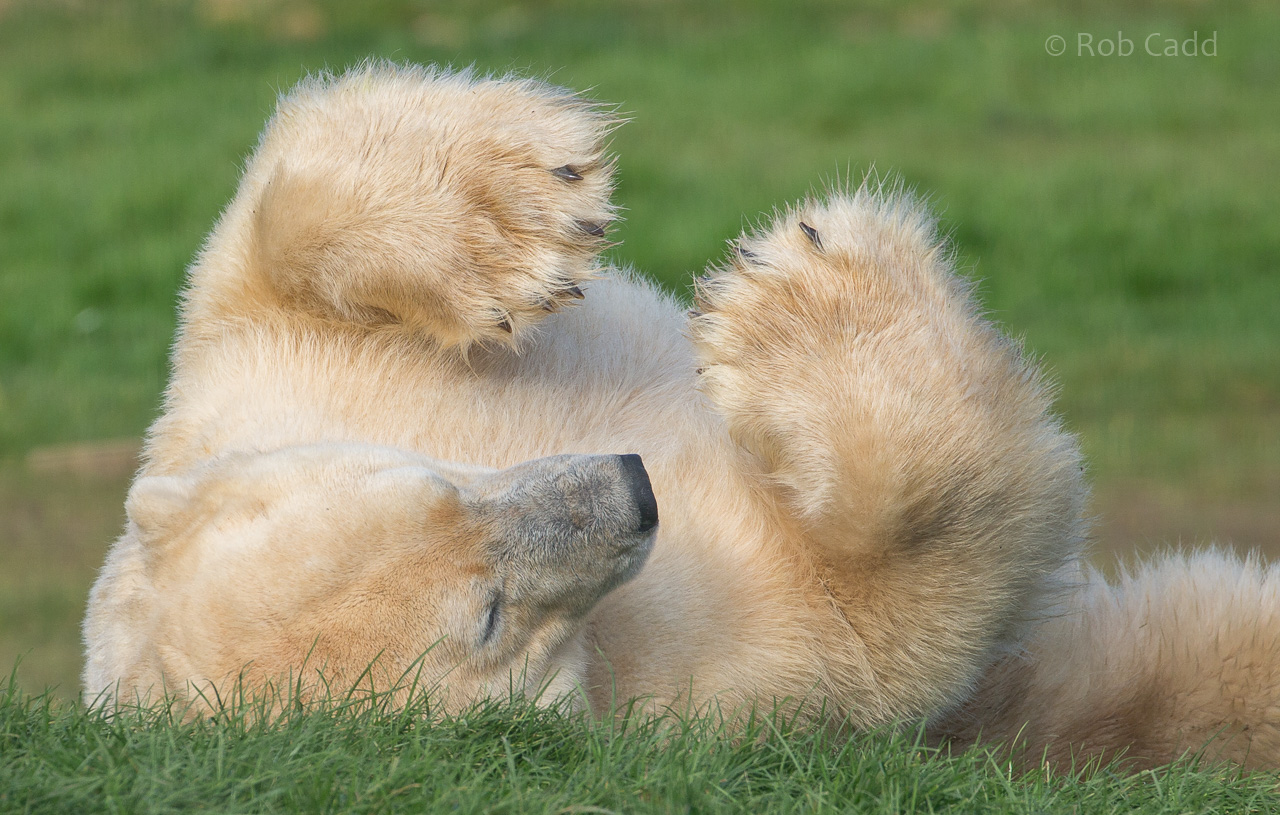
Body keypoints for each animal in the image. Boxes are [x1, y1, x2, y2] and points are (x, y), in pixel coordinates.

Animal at [83, 61, 1280, 771]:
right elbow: (878, 608)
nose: (630, 480)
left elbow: (274, 218)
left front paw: (515, 212)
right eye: (485, 616)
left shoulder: (241, 387)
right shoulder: (711, 686)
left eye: (430, 478)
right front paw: (801, 312)